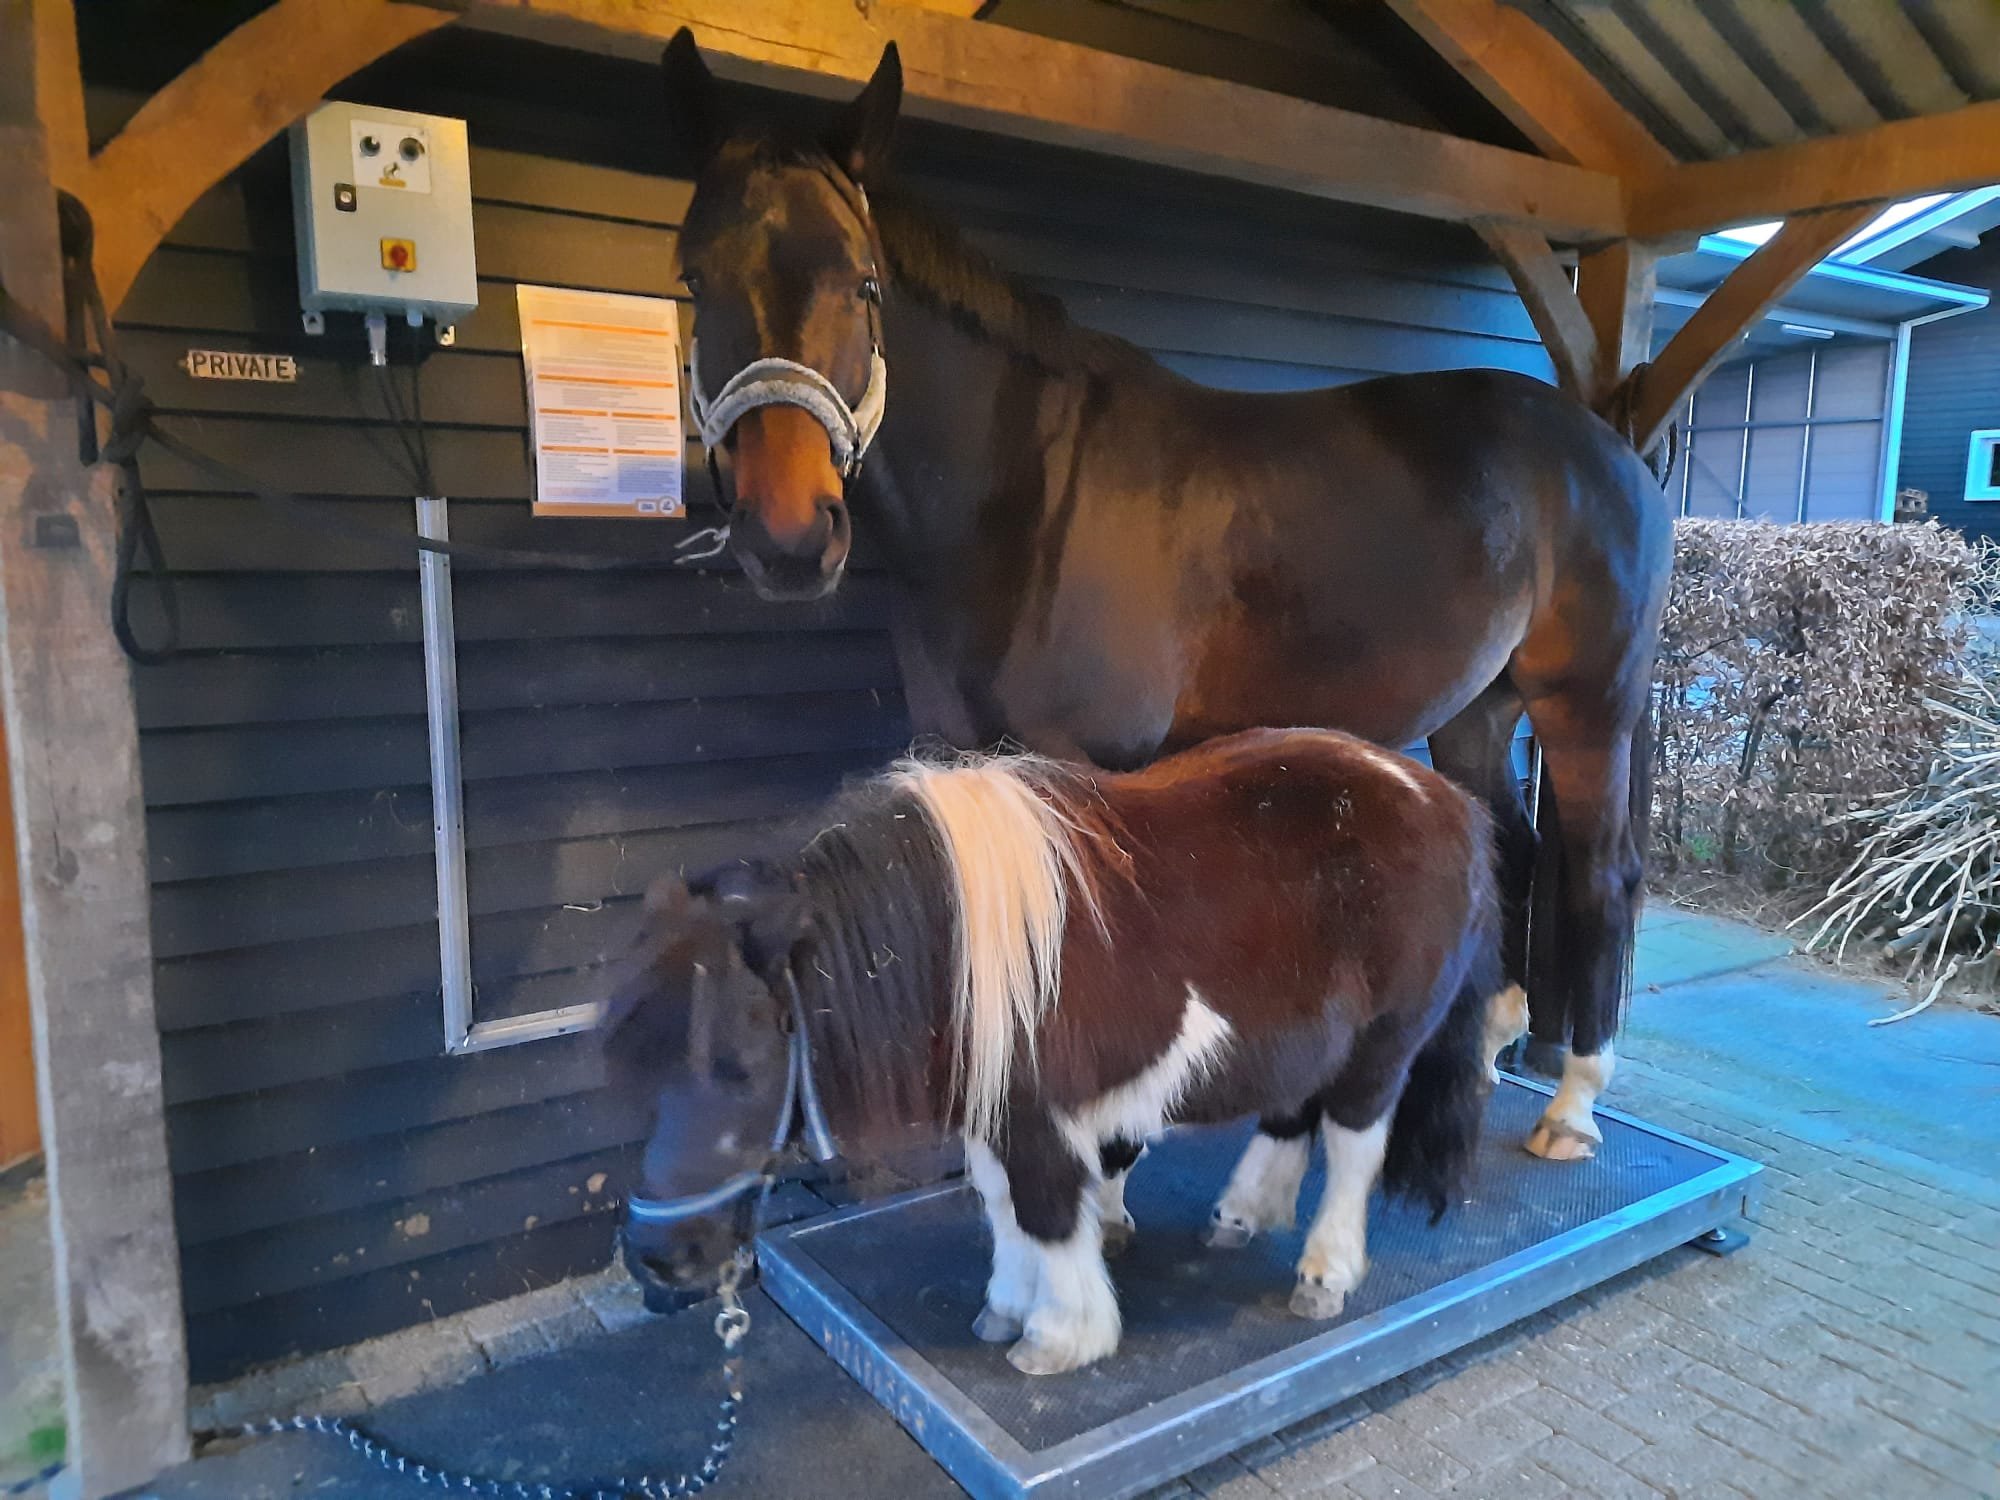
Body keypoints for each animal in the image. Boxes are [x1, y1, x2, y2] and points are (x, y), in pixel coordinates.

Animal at [604, 727, 1505, 1375]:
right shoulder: (991, 1110)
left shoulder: (1037, 1114)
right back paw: (1244, 1211)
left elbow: (1043, 1208)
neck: (953, 946)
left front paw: (1060, 1335)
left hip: (1384, 1046)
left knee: (1353, 1145)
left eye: (742, 1064)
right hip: (1305, 1037)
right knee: (1290, 1108)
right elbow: (1004, 1206)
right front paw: (1007, 1305)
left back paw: (1325, 1272)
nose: (659, 1262)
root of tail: (1446, 798)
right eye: (640, 1074)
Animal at [657, 33, 1673, 1168]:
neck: (1026, 492)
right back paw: (1488, 1058)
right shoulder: (968, 753)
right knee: (1516, 850)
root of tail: (1612, 449)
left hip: (1587, 707)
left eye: (863, 282)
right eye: (694, 275)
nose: (789, 537)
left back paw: (1570, 1106)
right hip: (1478, 710)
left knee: (1600, 876)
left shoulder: (1088, 766)